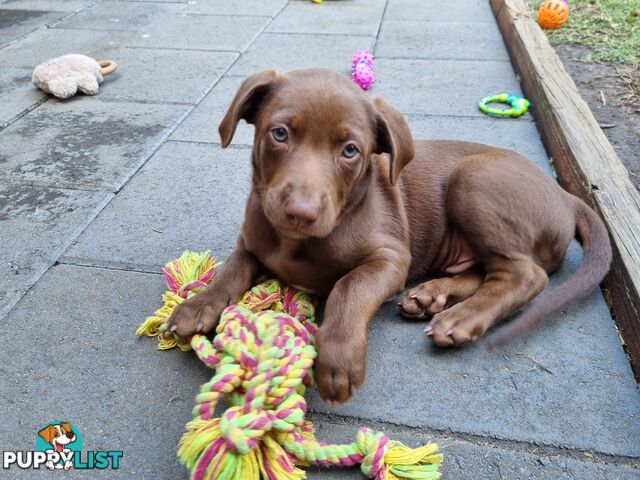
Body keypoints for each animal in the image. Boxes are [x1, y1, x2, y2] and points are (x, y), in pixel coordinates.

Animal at [168, 69, 612, 404]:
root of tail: (565, 195)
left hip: (473, 180)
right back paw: (431, 296)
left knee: (524, 275)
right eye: (279, 134)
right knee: (485, 271)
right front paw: (198, 305)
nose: (301, 212)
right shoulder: (251, 241)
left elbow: (349, 287)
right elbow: (231, 270)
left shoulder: (390, 257)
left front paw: (337, 360)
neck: (296, 243)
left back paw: (460, 318)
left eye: (350, 150)